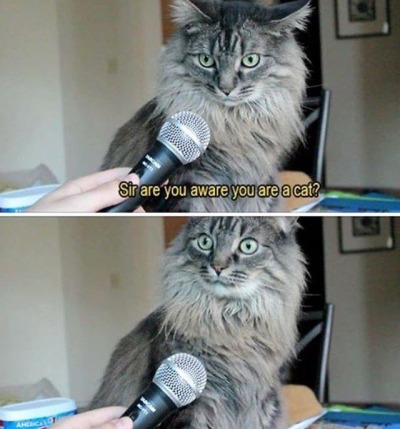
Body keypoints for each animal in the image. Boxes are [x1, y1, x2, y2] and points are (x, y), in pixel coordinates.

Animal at [90, 217, 307, 429]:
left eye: (248, 246)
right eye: (205, 242)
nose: (218, 266)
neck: (228, 323)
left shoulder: (264, 407)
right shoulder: (193, 411)